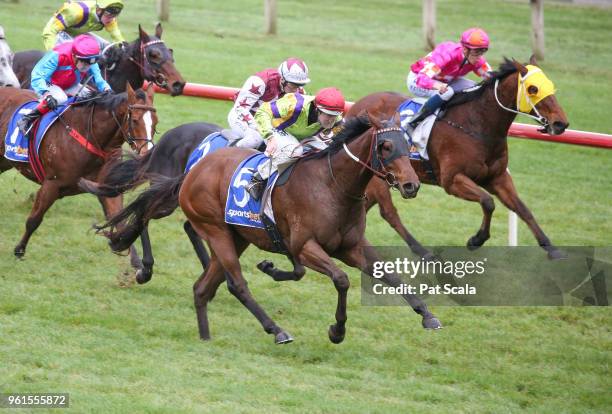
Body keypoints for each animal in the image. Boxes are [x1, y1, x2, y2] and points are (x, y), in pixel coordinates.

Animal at [0, 84, 158, 272]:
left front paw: (138, 265)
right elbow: (34, 220)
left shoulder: (107, 188)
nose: (148, 154)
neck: (92, 138)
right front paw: (19, 250)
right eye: (134, 120)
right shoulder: (51, 185)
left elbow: (119, 221)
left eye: (155, 122)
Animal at [95, 113, 440, 342]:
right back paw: (276, 329)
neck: (332, 186)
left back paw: (206, 335)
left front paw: (427, 315)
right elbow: (341, 280)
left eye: (408, 143)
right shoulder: (306, 246)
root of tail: (195, 170)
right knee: (231, 279)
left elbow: (389, 274)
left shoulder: (351, 246)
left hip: (236, 235)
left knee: (202, 284)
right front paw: (337, 330)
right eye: (385, 146)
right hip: (214, 228)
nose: (411, 185)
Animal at [346, 57, 572, 258]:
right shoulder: (452, 180)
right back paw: (422, 251)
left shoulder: (497, 178)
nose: (561, 123)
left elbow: (522, 209)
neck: (477, 125)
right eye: (533, 89)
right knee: (389, 212)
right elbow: (488, 201)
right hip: (379, 174)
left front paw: (552, 248)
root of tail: (358, 106)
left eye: (550, 86)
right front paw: (476, 240)